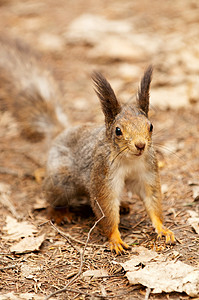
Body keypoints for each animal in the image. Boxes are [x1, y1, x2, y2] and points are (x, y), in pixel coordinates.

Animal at [0, 37, 174, 253]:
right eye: (118, 131)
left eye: (150, 126)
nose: (141, 145)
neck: (129, 160)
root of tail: (62, 132)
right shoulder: (103, 174)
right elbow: (105, 208)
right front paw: (115, 238)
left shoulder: (147, 170)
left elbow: (152, 199)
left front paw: (162, 228)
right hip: (60, 179)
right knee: (53, 197)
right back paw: (59, 213)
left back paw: (124, 204)